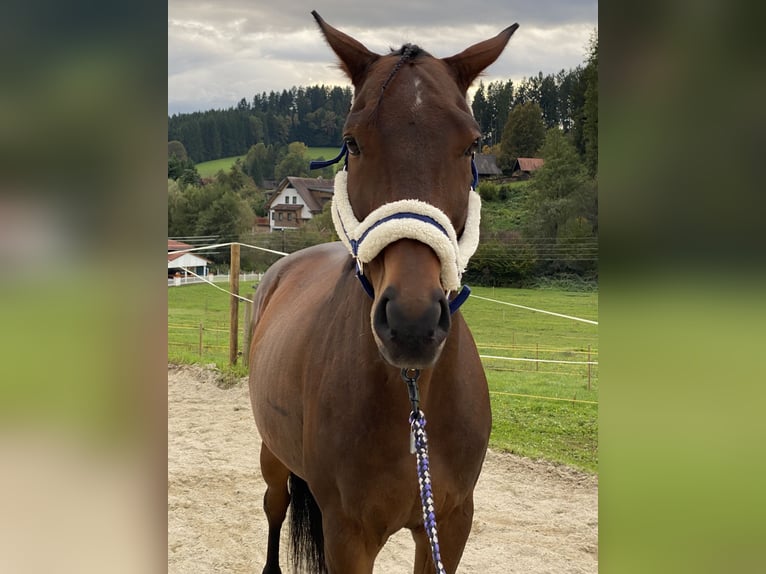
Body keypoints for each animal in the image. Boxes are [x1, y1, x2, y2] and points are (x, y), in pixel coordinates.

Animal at [248, 11, 518, 573]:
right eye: (352, 142)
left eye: (472, 143)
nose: (412, 322)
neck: (413, 397)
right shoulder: (348, 535)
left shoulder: (449, 524)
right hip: (273, 456)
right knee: (274, 506)